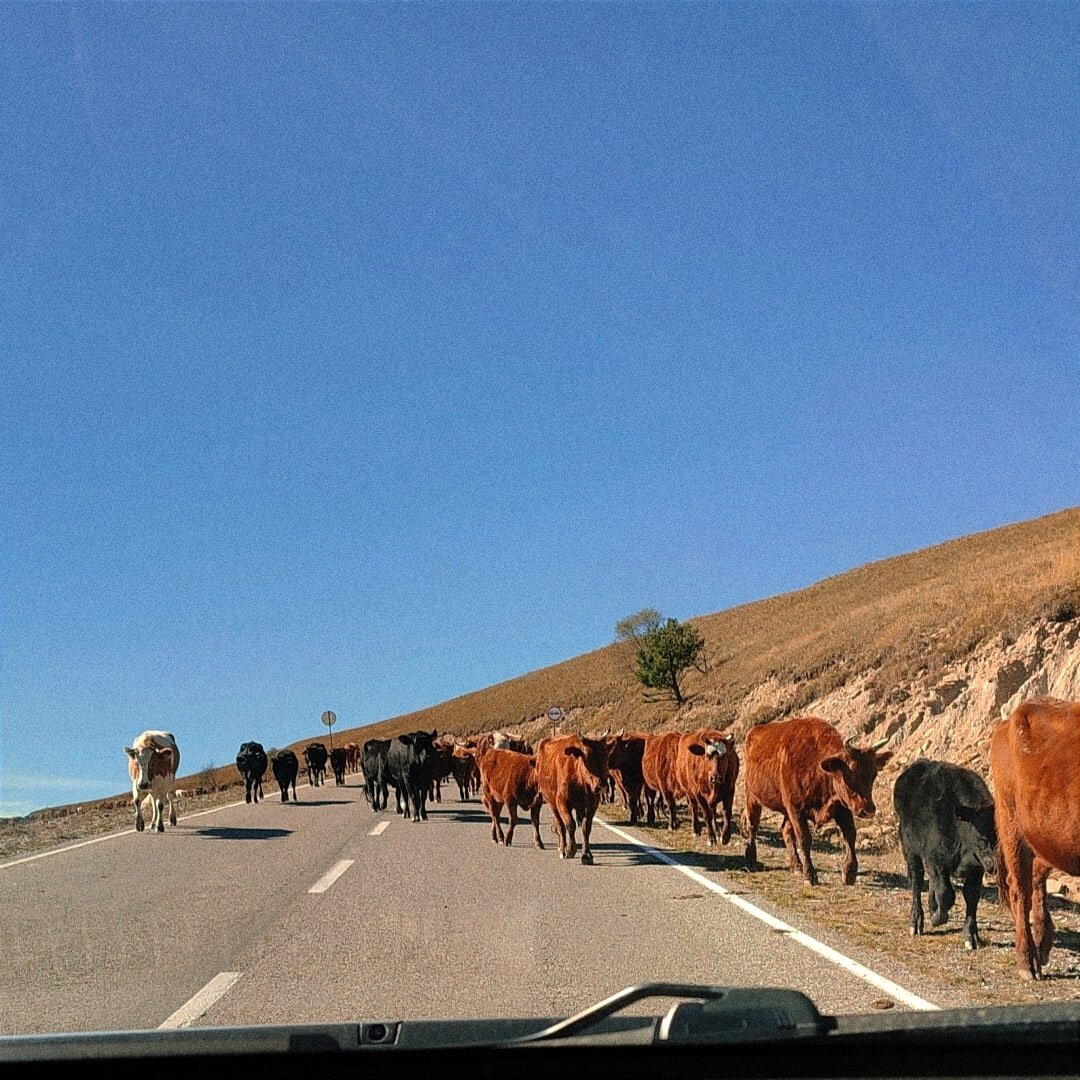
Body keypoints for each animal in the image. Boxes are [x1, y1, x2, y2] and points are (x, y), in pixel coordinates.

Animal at [743, 717, 894, 885]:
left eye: (874, 774)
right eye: (850, 774)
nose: (868, 810)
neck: (819, 767)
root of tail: (754, 731)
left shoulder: (842, 808)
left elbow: (850, 835)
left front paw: (849, 873)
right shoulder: (796, 810)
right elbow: (804, 839)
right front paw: (810, 876)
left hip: (785, 810)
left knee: (785, 830)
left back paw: (796, 866)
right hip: (753, 797)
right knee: (753, 825)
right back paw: (751, 859)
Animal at [889, 756, 997, 950]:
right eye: (982, 838)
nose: (993, 865)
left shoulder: (976, 869)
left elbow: (971, 896)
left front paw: (971, 937)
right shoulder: (936, 860)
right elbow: (946, 894)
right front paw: (937, 918)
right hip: (910, 850)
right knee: (917, 882)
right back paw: (916, 922)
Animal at [989, 699, 1080, 980]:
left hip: (1045, 836)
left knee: (1037, 878)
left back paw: (1042, 942)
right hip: (1011, 824)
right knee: (1020, 889)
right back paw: (1027, 961)